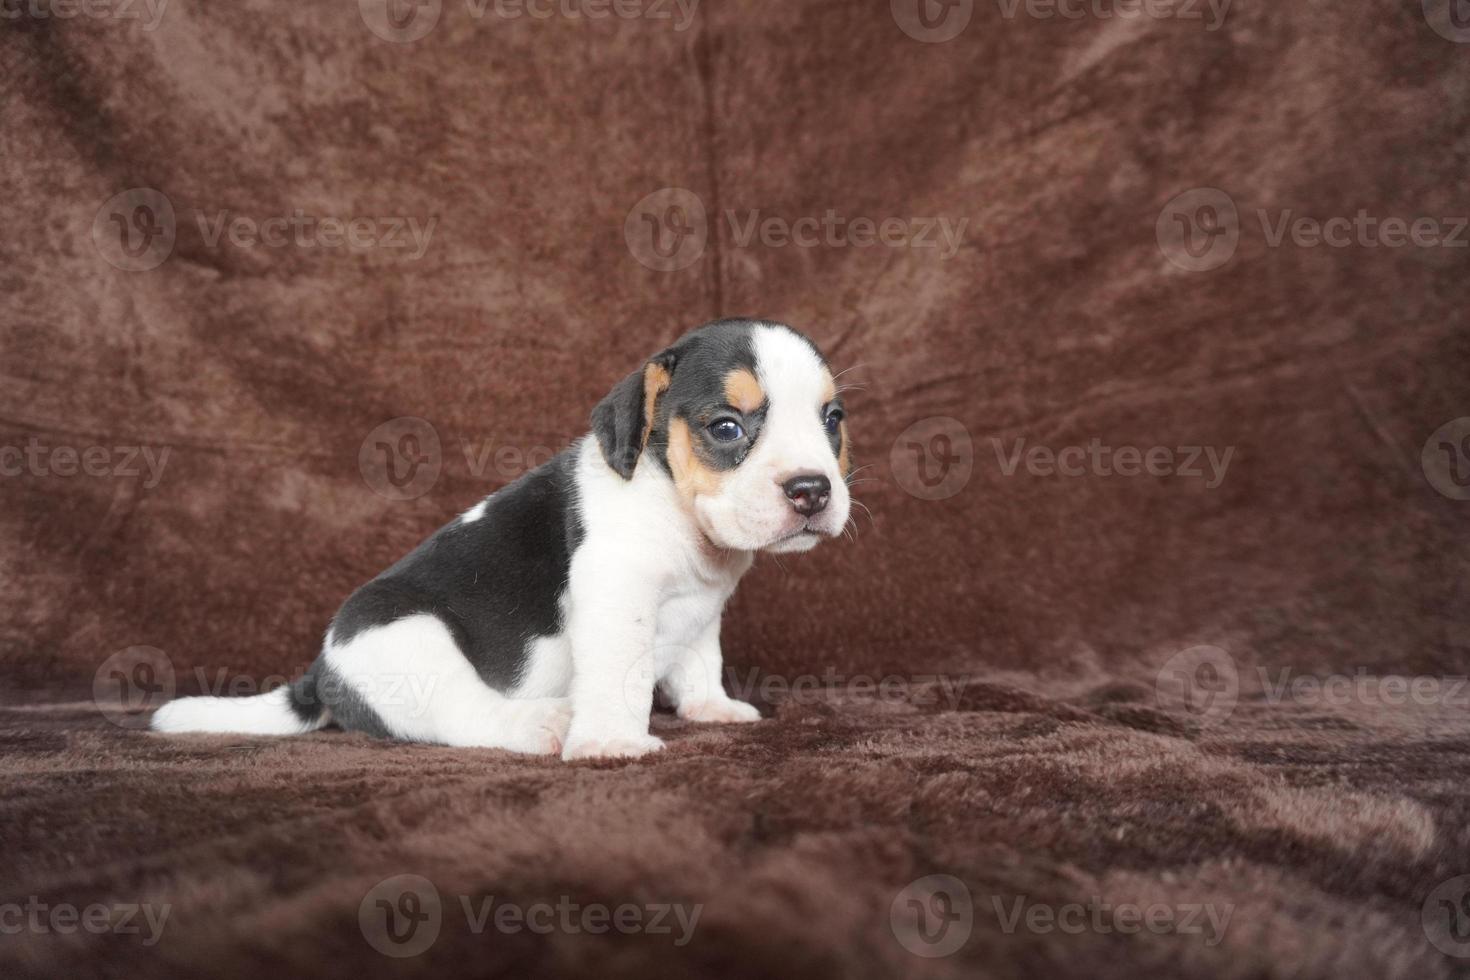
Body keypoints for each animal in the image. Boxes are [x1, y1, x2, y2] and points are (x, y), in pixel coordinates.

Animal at [152, 318, 852, 764]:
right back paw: (546, 722)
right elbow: (619, 676)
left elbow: (700, 661)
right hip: (416, 644)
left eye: (833, 419)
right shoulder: (618, 597)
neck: (676, 507)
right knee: (465, 717)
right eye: (727, 428)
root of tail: (321, 672)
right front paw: (611, 741)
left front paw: (713, 708)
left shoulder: (701, 612)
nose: (812, 490)